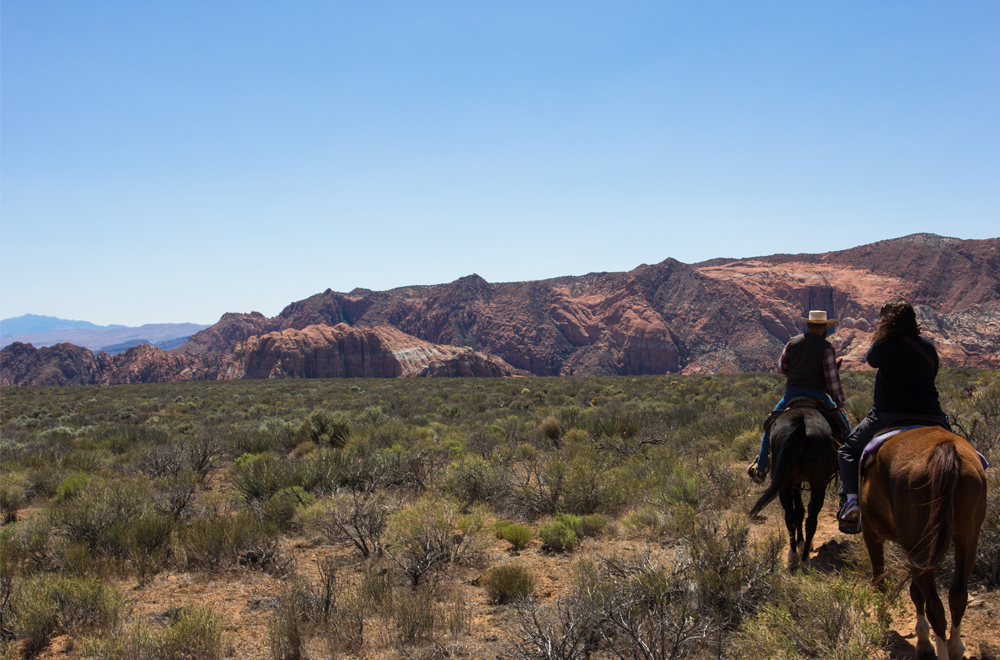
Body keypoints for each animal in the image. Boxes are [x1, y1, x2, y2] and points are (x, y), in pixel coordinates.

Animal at [748, 408, 840, 568]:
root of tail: (801, 422)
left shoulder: (795, 482)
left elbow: (798, 511)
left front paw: (799, 543)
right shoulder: (800, 482)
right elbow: (802, 511)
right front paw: (802, 544)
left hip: (786, 482)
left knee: (790, 515)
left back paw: (793, 557)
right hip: (818, 483)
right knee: (811, 519)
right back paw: (804, 560)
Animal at [856, 428, 988, 660]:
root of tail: (946, 449)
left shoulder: (872, 534)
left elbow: (880, 580)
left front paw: (883, 621)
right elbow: (916, 592)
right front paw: (924, 640)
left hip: (919, 542)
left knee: (935, 606)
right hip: (967, 538)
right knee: (957, 596)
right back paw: (955, 648)